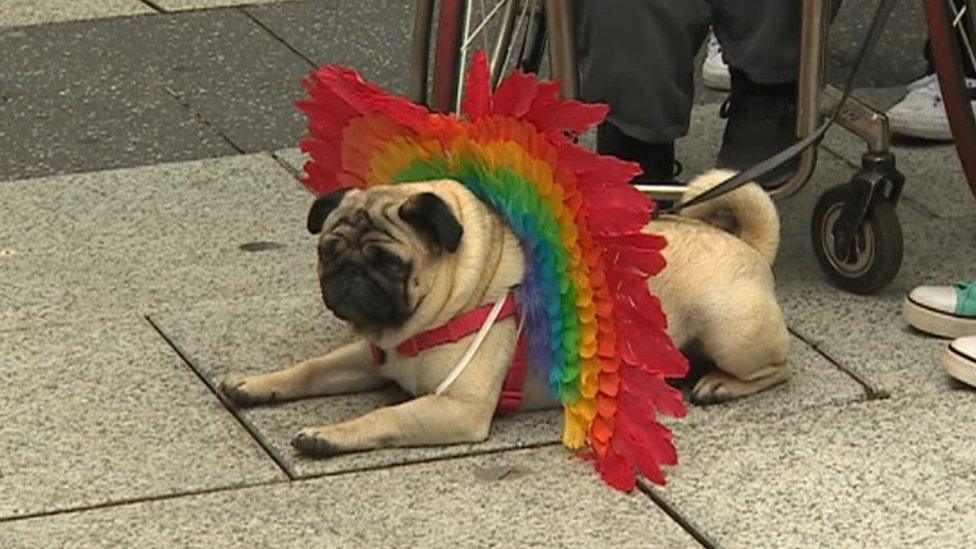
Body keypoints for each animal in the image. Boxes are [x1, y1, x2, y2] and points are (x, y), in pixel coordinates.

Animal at [219, 170, 784, 454]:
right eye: (328, 252)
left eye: (388, 262)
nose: (350, 274)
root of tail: (749, 245)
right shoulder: (372, 353)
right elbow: (311, 369)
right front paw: (256, 384)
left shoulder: (459, 407)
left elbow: (385, 415)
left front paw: (328, 435)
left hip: (729, 330)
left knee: (778, 369)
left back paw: (719, 383)